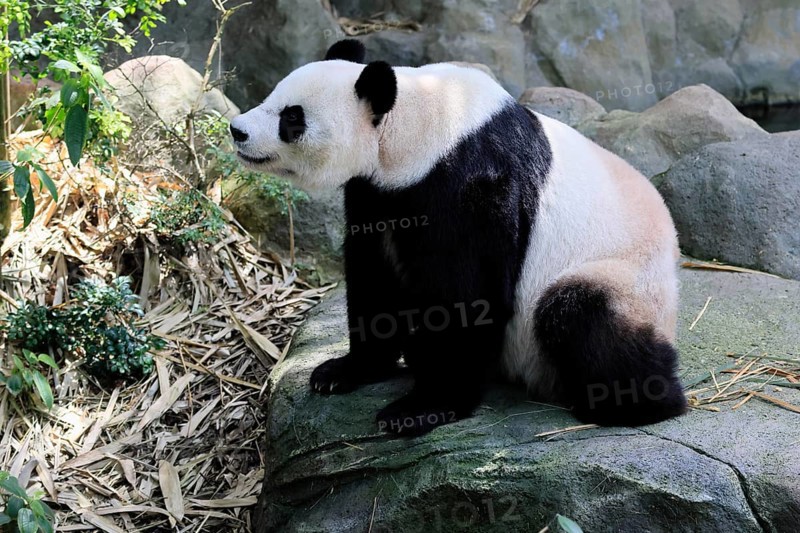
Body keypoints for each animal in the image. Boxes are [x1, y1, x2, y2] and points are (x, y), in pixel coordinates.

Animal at [230, 39, 688, 436]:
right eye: (271, 96)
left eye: (292, 117)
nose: (237, 130)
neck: (414, 123)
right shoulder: (377, 194)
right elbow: (374, 278)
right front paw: (343, 371)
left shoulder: (471, 183)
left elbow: (466, 295)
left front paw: (419, 410)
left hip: (627, 278)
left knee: (582, 314)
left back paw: (632, 403)